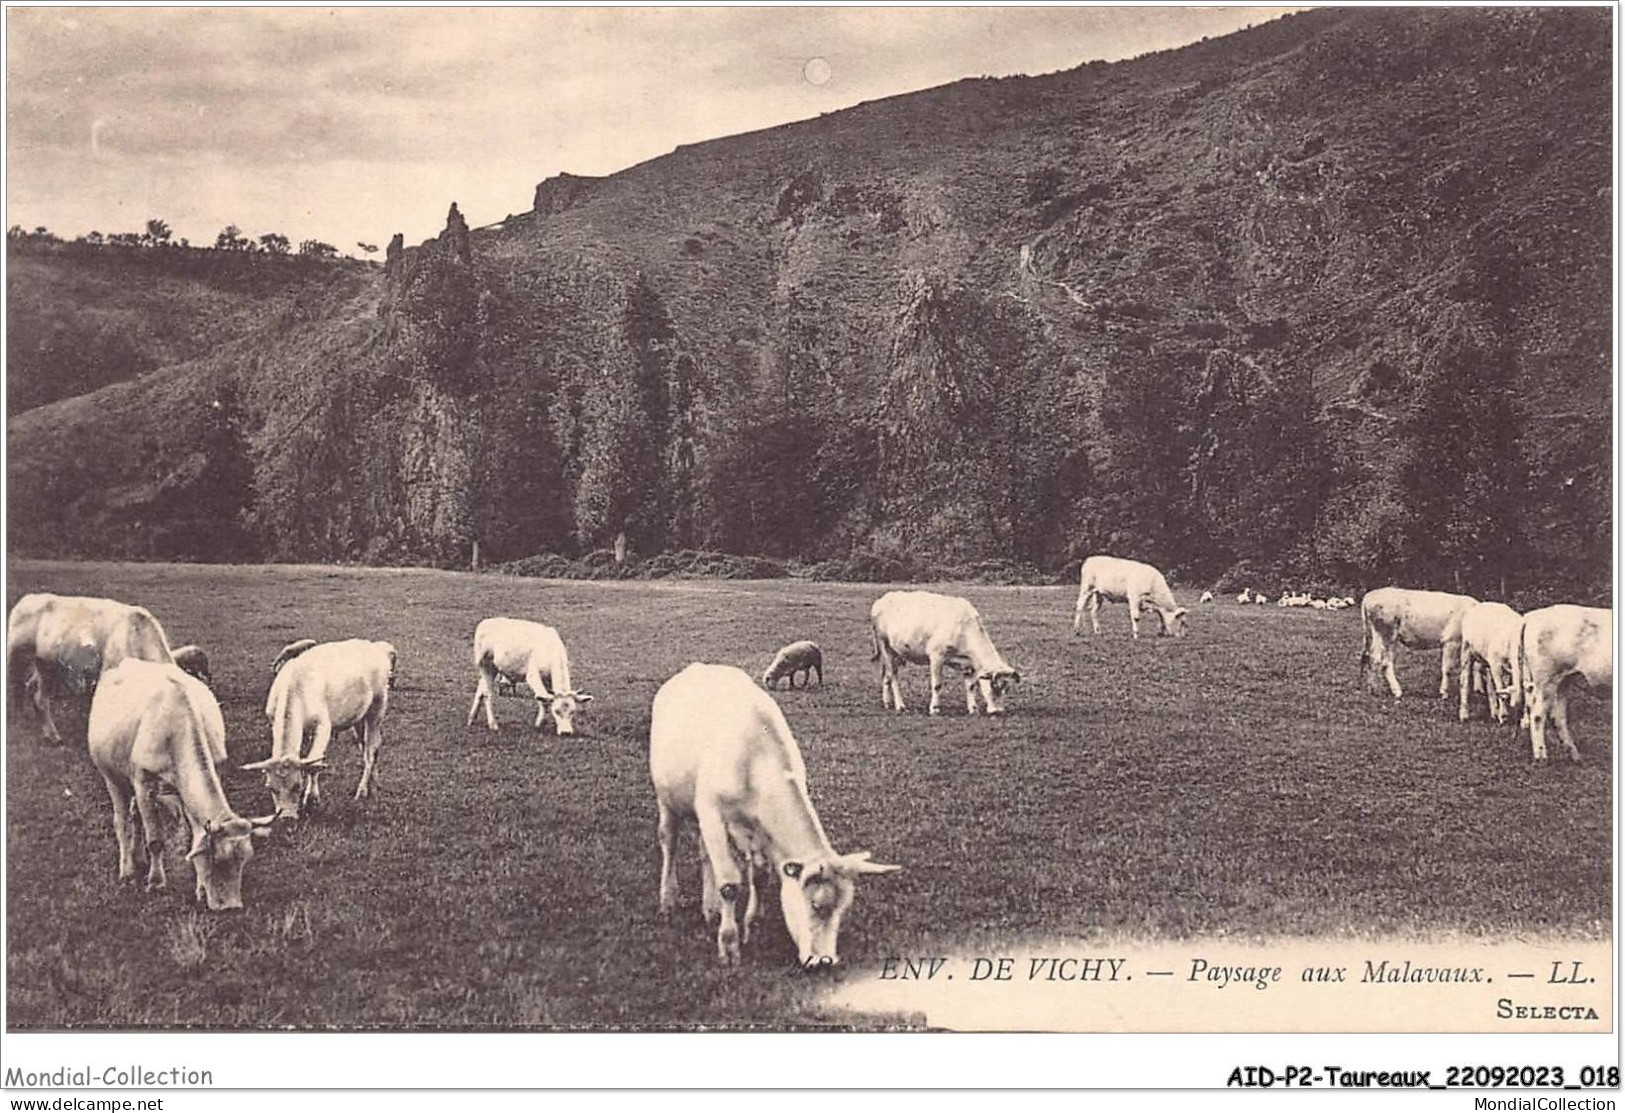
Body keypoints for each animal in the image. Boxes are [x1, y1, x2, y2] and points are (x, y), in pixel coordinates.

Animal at [86, 659, 269, 903]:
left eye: (244, 861)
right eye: (217, 861)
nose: (231, 906)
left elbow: (196, 833)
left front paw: (199, 888)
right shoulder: (144, 784)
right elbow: (155, 839)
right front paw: (156, 882)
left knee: (135, 817)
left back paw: (138, 857)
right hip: (112, 777)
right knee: (122, 821)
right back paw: (127, 869)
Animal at [240, 633, 393, 815]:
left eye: (297, 786)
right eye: (271, 788)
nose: (286, 817)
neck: (296, 688)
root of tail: (375, 647)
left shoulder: (323, 726)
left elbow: (314, 763)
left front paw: (312, 799)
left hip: (377, 709)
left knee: (371, 750)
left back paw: (362, 791)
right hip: (358, 719)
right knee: (369, 748)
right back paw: (373, 786)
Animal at [646, 662, 903, 968]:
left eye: (844, 909)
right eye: (816, 904)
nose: (825, 960)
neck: (756, 759)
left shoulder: (755, 827)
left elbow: (759, 875)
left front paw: (752, 924)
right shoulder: (712, 812)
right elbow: (729, 884)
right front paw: (729, 946)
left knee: (704, 852)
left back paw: (710, 909)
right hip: (667, 798)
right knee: (669, 843)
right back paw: (668, 901)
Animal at [871, 591, 1020, 711]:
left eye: (1007, 688)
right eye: (994, 686)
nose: (998, 711)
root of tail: (882, 599)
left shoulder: (968, 663)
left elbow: (971, 686)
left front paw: (973, 708)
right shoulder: (936, 656)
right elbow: (937, 684)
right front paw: (935, 708)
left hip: (895, 652)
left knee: (886, 674)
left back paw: (887, 703)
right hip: (885, 646)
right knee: (893, 675)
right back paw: (900, 705)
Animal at [1508, 597, 1612, 763]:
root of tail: (1530, 616)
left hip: (1563, 679)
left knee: (1557, 717)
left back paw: (1575, 756)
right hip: (1546, 679)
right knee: (1537, 714)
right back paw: (1541, 757)